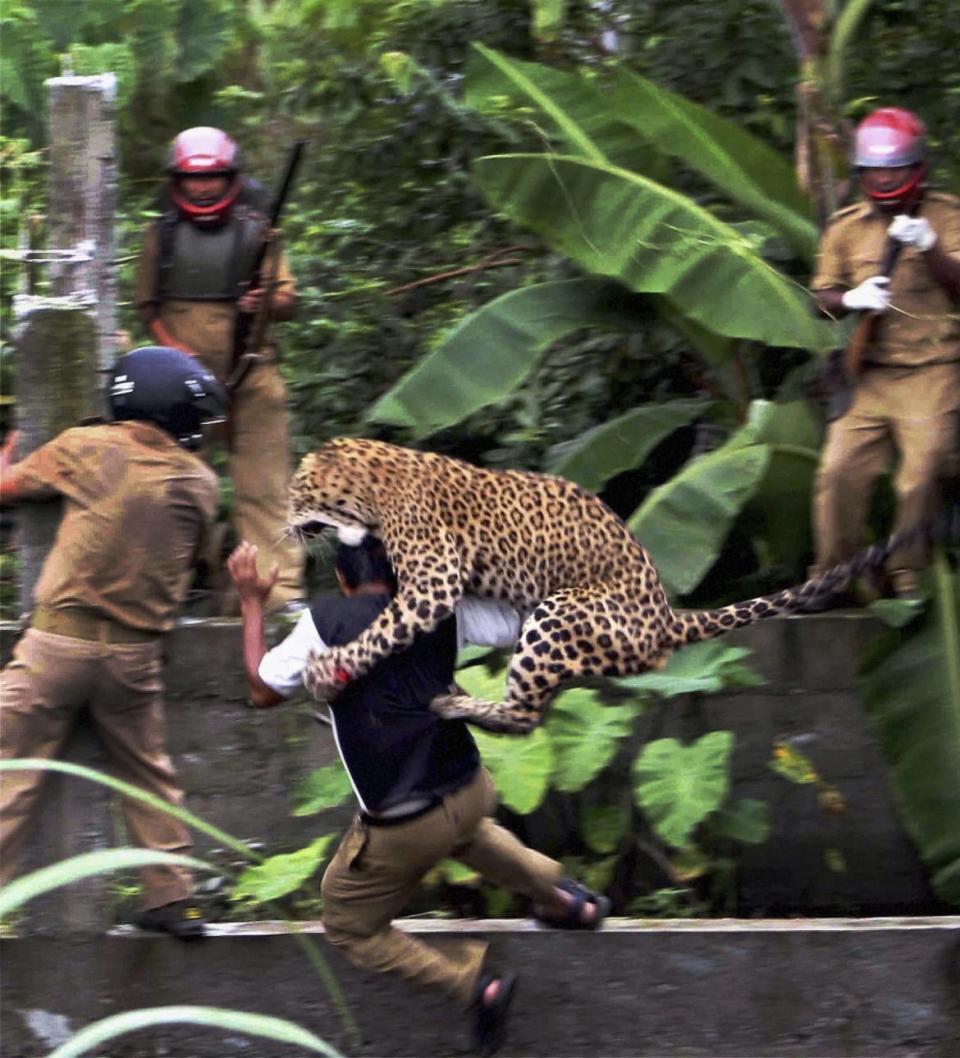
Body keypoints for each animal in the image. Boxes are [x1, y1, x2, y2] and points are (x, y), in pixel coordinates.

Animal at [290, 433, 914, 732]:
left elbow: (382, 629)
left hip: (560, 611)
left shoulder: (433, 581)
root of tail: (665, 617)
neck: (370, 486)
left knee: (525, 716)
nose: (286, 522)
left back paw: (458, 704)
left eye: (297, 490)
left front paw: (325, 669)